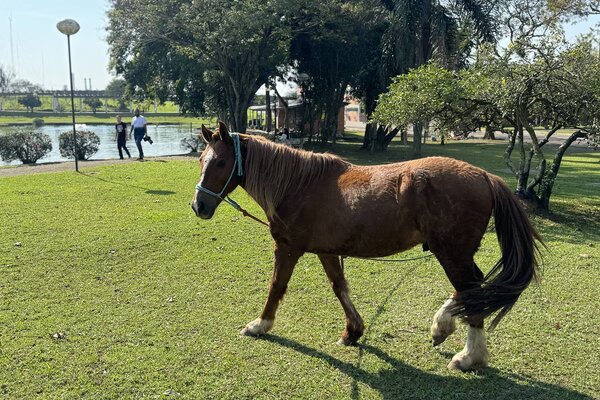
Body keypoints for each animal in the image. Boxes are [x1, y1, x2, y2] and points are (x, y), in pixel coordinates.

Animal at [192, 122, 544, 372]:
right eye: (201, 160)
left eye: (221, 162)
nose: (199, 206)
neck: (298, 185)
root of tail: (485, 176)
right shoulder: (326, 250)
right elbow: (340, 287)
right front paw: (353, 331)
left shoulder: (288, 248)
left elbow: (276, 286)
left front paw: (260, 325)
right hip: (456, 254)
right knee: (472, 289)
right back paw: (443, 327)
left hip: (452, 254)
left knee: (472, 292)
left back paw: (469, 356)